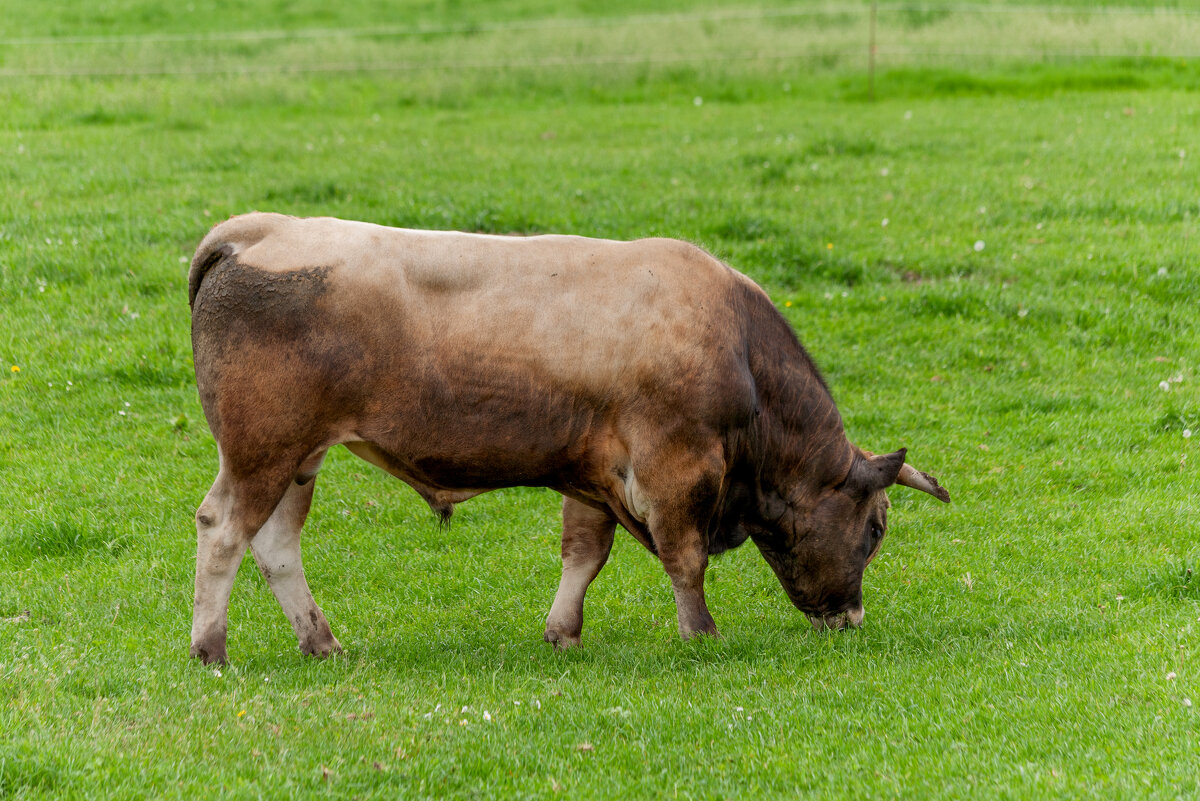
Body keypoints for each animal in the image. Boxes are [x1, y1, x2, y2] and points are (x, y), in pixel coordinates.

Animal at [184, 211, 945, 661]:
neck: (737, 345)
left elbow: (584, 555)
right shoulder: (676, 465)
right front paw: (700, 634)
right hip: (262, 451)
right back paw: (211, 648)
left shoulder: (593, 471)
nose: (851, 616)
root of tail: (259, 229)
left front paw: (563, 633)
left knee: (276, 548)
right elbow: (686, 557)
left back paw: (322, 642)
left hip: (298, 458)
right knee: (223, 529)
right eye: (875, 528)